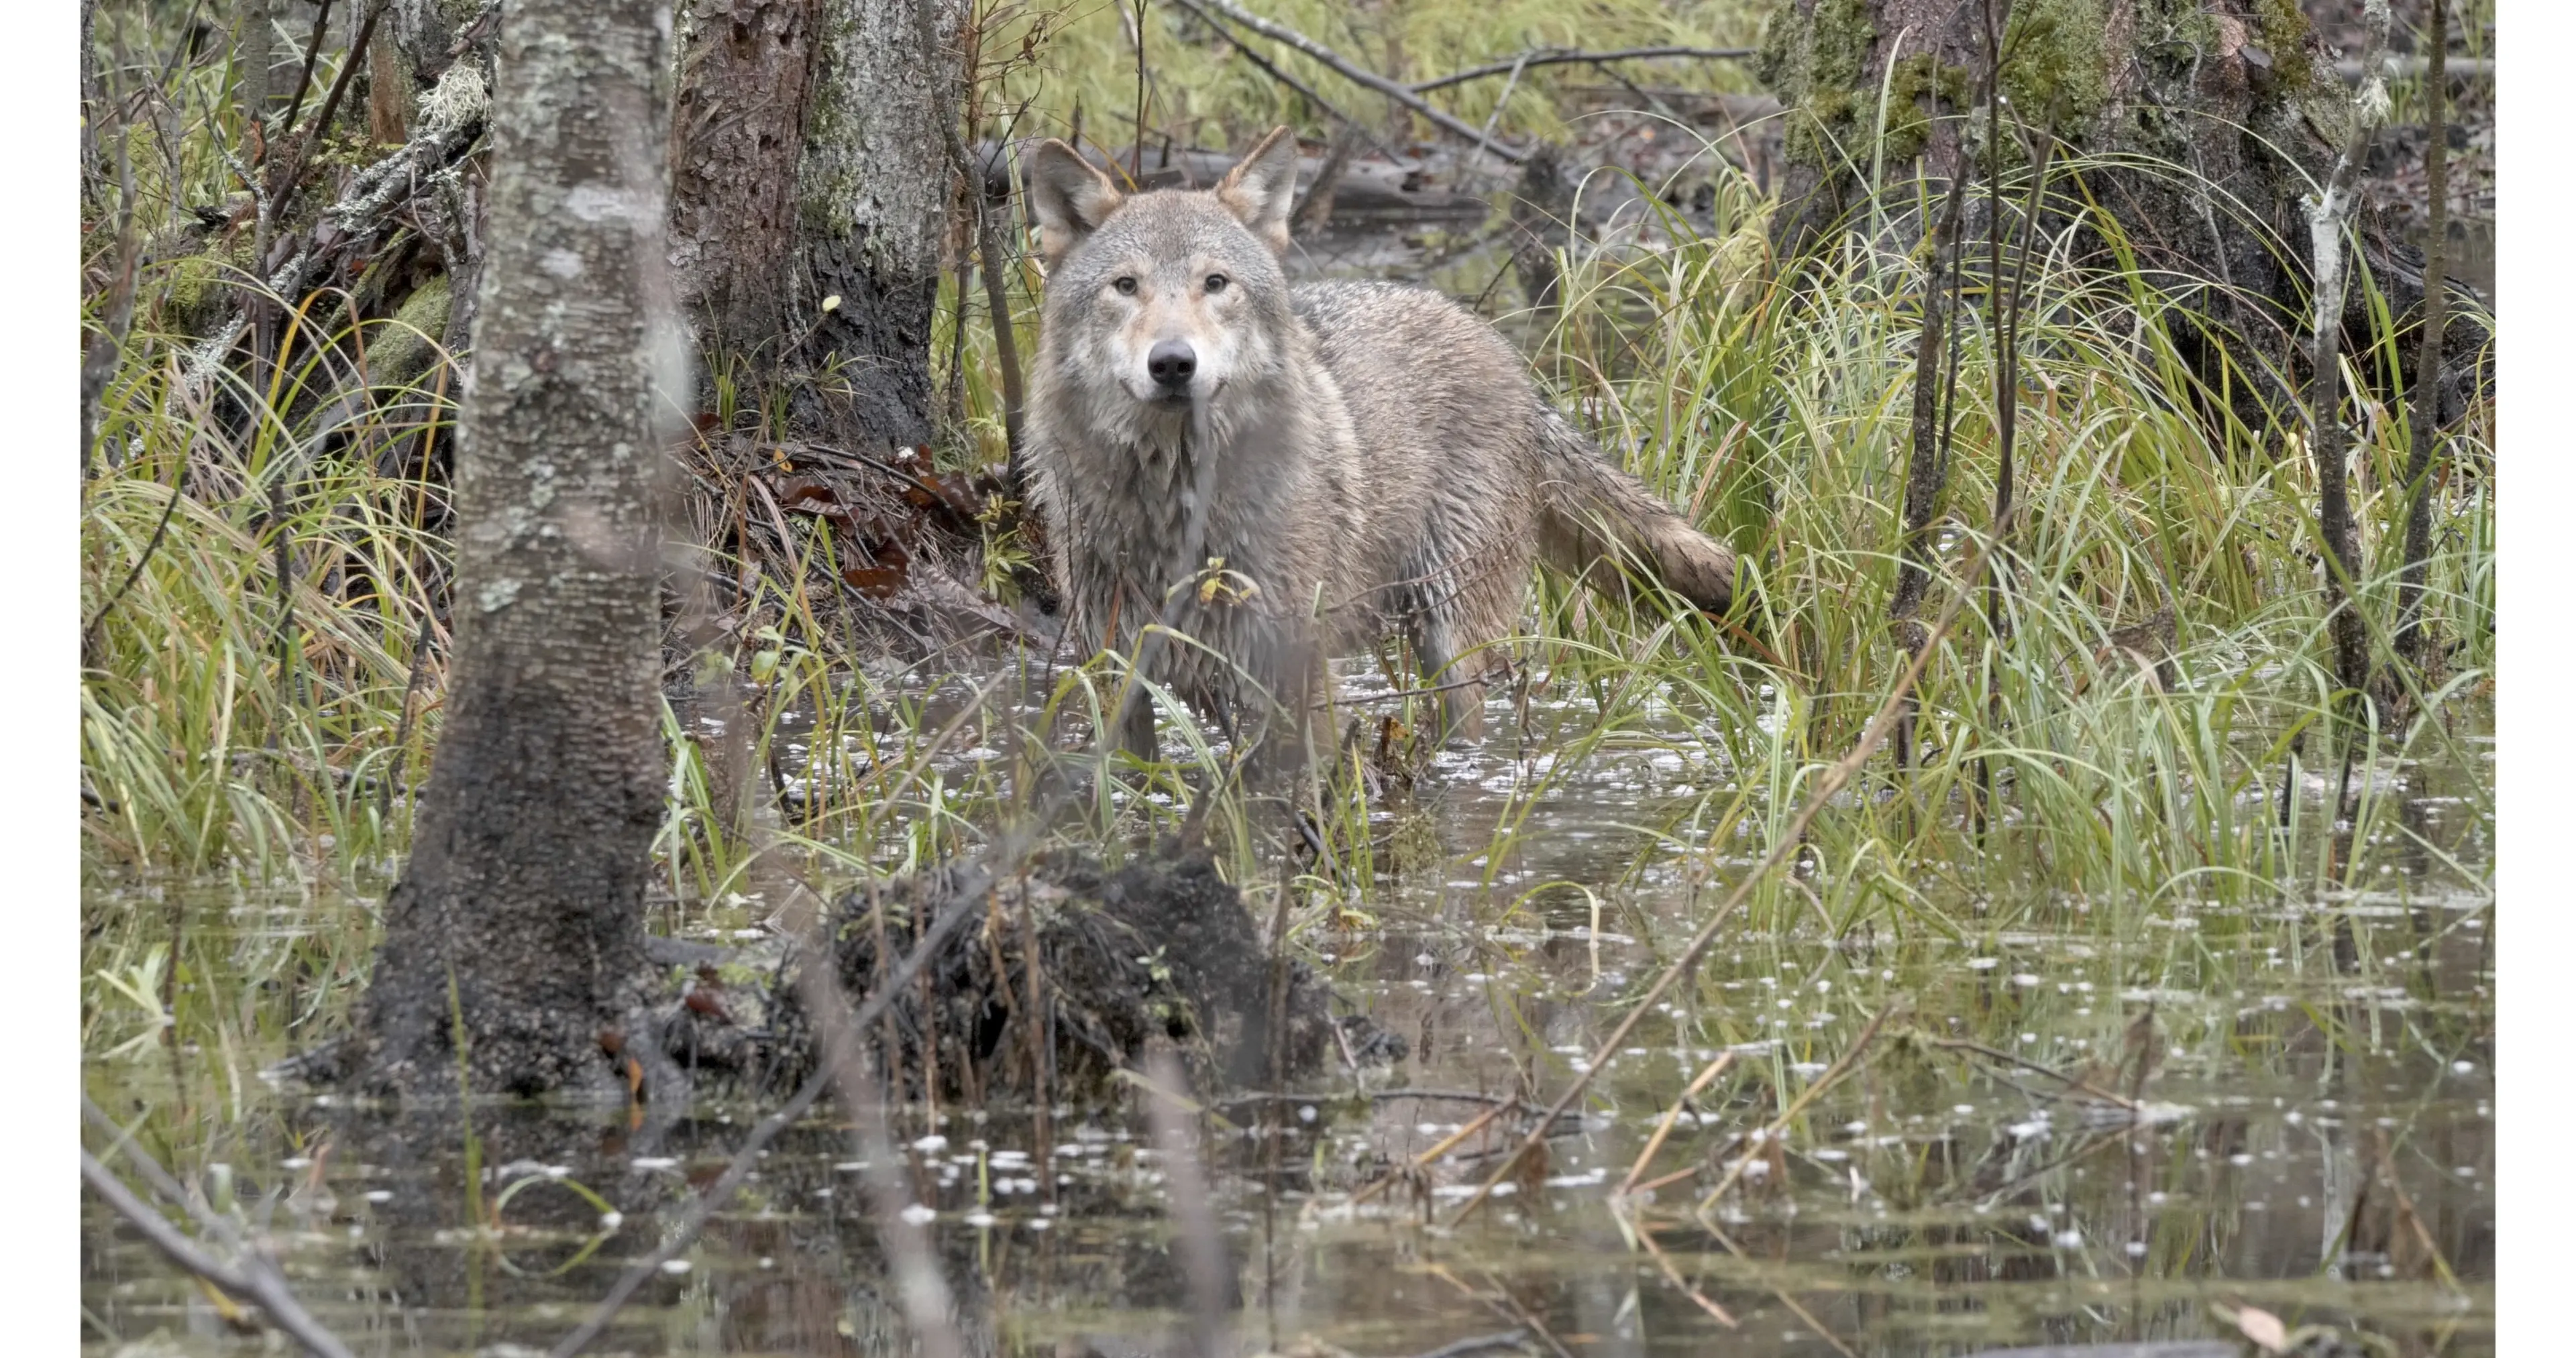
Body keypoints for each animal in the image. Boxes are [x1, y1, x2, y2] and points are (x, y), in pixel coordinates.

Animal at [1020, 126, 1736, 766]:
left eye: (1215, 283)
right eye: (1126, 286)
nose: (1172, 363)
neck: (1175, 503)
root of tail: (1506, 356)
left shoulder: (1296, 675)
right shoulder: (1114, 677)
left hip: (1451, 635)